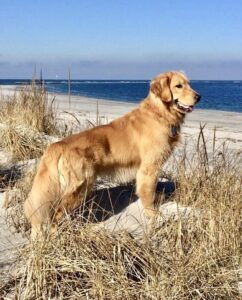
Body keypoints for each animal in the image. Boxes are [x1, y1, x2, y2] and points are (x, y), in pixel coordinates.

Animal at [23, 70, 200, 237]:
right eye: (178, 86)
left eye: (189, 84)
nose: (199, 97)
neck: (158, 113)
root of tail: (57, 146)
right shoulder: (149, 168)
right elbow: (148, 194)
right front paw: (153, 215)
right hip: (80, 187)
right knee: (56, 215)